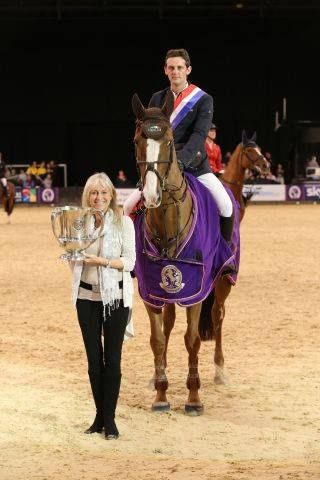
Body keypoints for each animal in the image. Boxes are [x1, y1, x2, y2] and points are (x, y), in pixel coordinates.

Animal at [131, 93, 268, 412]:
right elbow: (158, 338)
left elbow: (192, 339)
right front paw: (160, 393)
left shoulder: (196, 288)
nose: (152, 195)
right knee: (169, 324)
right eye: (137, 140)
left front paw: (193, 398)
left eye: (169, 140)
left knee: (218, 316)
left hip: (223, 280)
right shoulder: (151, 290)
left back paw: (219, 371)